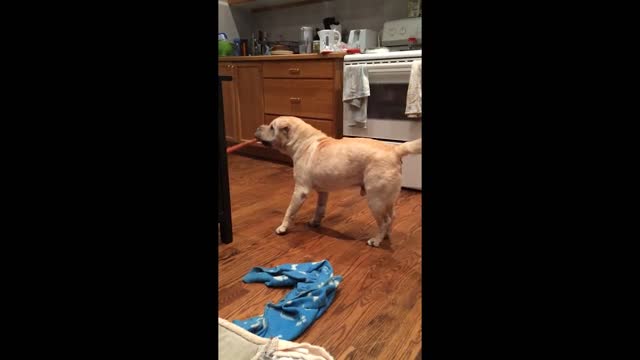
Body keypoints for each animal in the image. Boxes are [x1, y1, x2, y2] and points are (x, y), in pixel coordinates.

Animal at [252, 116, 422, 246]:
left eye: (272, 127)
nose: (257, 127)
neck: (303, 142)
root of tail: (395, 150)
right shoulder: (323, 191)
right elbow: (320, 208)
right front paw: (315, 222)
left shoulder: (300, 190)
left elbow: (289, 211)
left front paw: (283, 227)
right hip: (387, 199)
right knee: (392, 217)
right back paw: (385, 235)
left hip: (376, 200)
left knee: (385, 221)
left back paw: (376, 240)